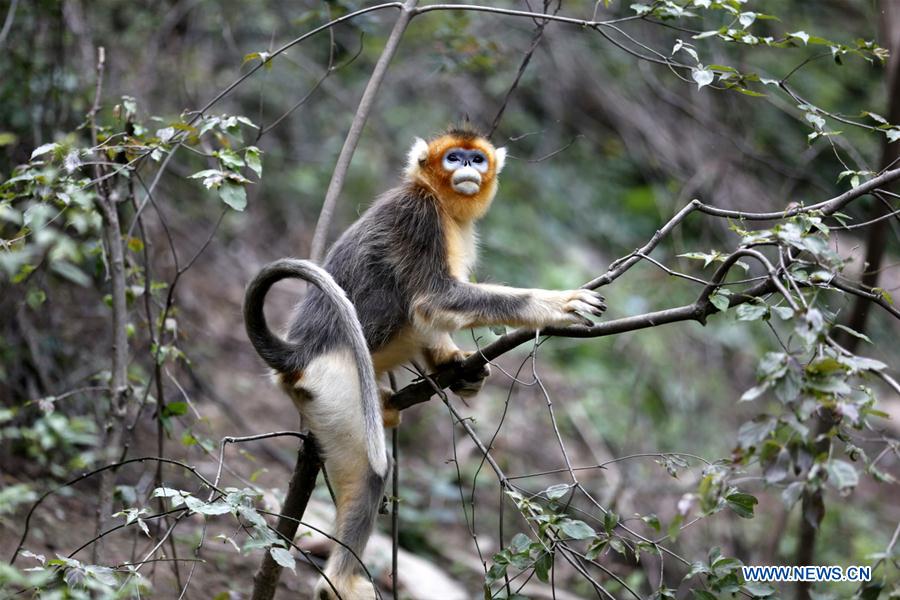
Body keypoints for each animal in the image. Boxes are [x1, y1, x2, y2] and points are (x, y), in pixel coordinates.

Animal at [243, 125, 606, 599]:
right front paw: (557, 304)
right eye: (453, 157)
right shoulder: (420, 217)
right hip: (334, 387)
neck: (437, 198)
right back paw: (336, 583)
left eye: (476, 158)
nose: (467, 167)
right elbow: (433, 300)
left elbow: (429, 317)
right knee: (372, 469)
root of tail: (300, 351)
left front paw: (459, 366)